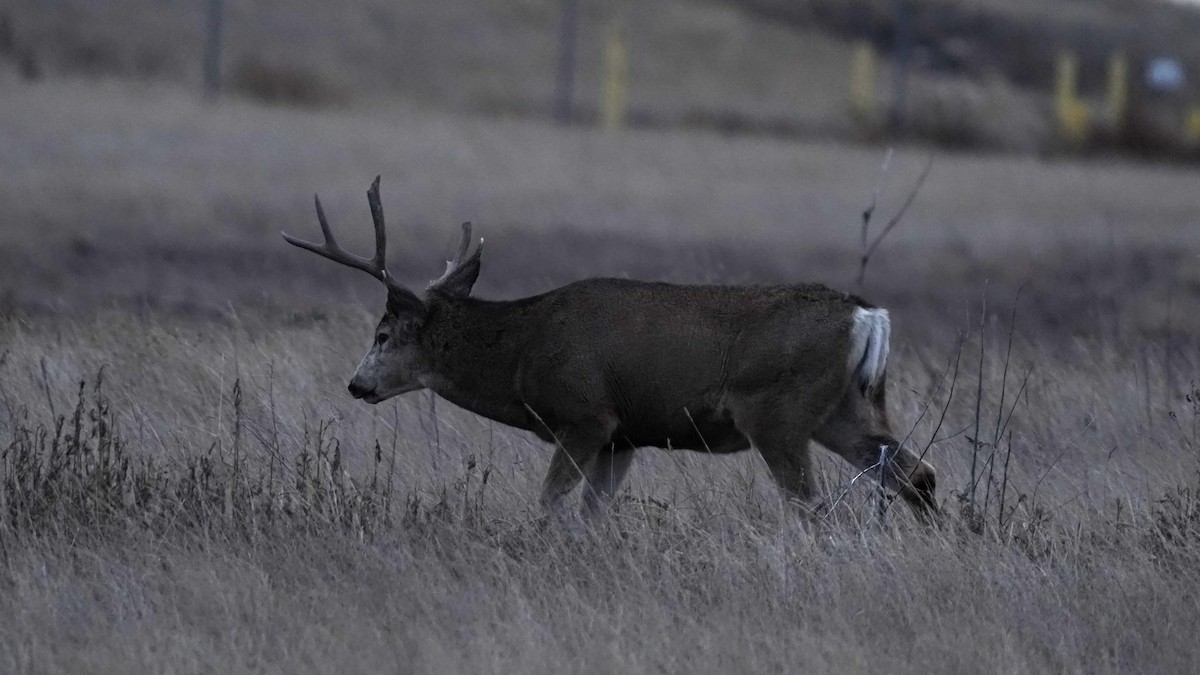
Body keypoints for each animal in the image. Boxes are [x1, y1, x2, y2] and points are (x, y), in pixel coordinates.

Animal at [282, 177, 938, 522]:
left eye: (382, 334)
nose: (356, 385)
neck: (523, 352)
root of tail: (865, 314)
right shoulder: (624, 436)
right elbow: (589, 517)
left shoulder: (584, 416)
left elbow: (550, 506)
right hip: (841, 409)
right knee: (916, 472)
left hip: (777, 413)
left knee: (814, 506)